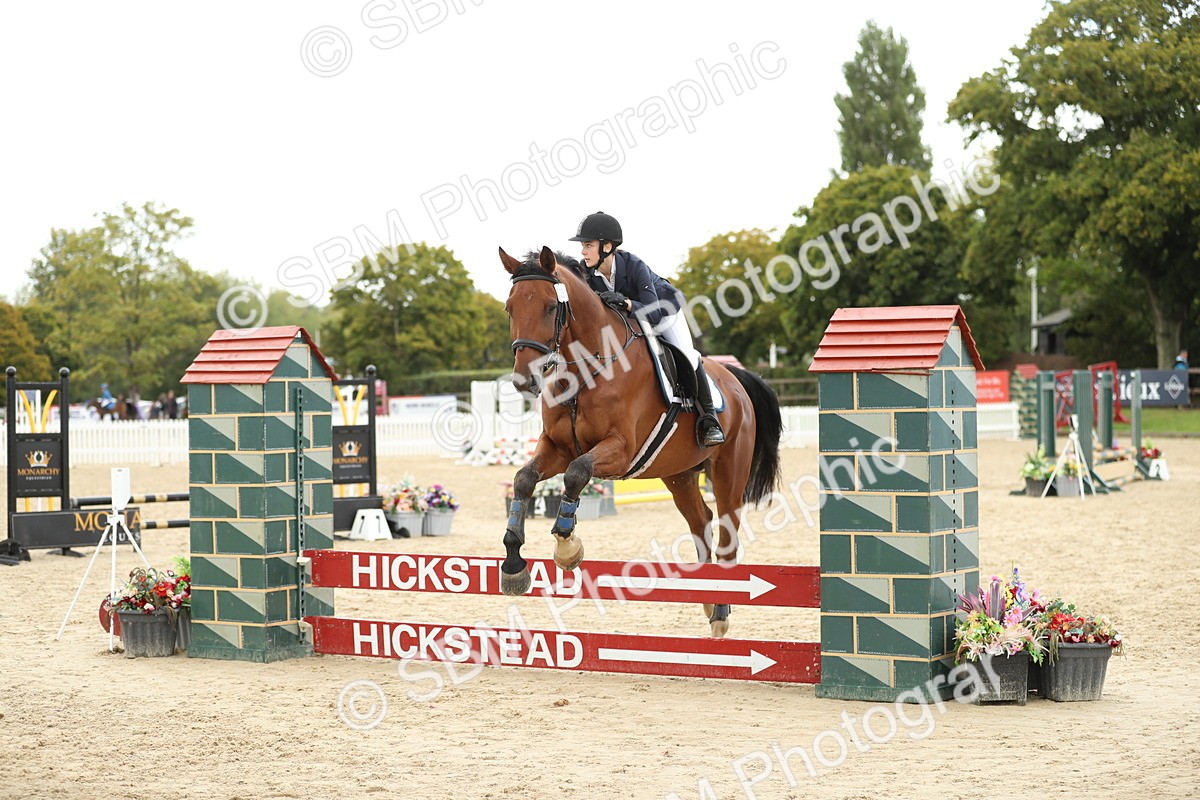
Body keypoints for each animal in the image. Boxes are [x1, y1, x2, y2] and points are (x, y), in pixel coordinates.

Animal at [498, 246, 783, 637]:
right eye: (509, 307)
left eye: (551, 307)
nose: (524, 381)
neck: (586, 369)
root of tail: (736, 379)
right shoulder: (556, 448)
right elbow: (524, 479)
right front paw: (514, 565)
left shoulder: (619, 449)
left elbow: (577, 473)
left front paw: (567, 546)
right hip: (679, 475)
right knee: (701, 522)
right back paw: (708, 599)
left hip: (729, 473)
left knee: (727, 535)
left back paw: (721, 615)